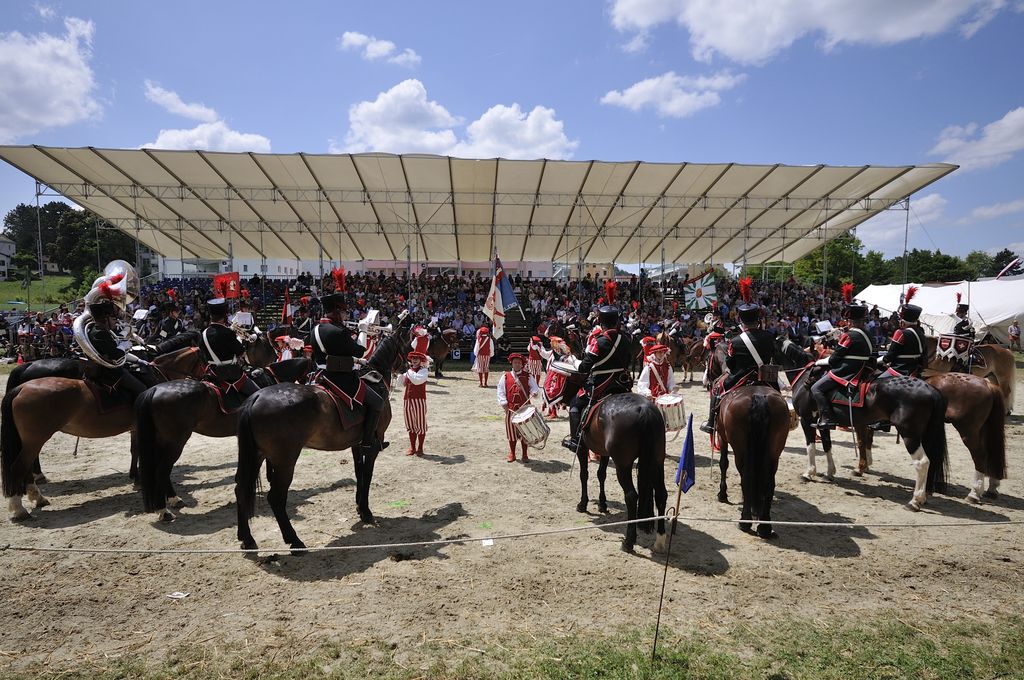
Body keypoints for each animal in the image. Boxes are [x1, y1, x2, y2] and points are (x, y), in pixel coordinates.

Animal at [0, 348, 203, 518]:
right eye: (204, 361)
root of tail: (21, 388)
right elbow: (145, 455)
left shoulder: (136, 428)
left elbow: (135, 450)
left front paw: (135, 477)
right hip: (35, 440)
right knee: (18, 467)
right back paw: (19, 508)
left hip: (29, 441)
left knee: (25, 467)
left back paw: (37, 497)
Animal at [136, 356, 313, 520]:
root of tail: (154, 390)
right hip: (176, 442)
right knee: (162, 470)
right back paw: (163, 511)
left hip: (161, 441)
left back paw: (174, 500)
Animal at [573, 393, 667, 553]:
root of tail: (644, 410)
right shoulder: (603, 452)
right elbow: (601, 474)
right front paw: (602, 504)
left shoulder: (582, 448)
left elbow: (583, 474)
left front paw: (583, 504)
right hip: (656, 463)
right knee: (661, 495)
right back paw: (660, 541)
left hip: (623, 465)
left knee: (631, 496)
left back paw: (629, 542)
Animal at [716, 387, 786, 536]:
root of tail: (758, 396)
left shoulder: (721, 436)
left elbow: (723, 463)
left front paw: (722, 494)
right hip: (774, 452)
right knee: (768, 482)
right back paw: (764, 525)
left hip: (741, 452)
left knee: (747, 478)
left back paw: (745, 521)